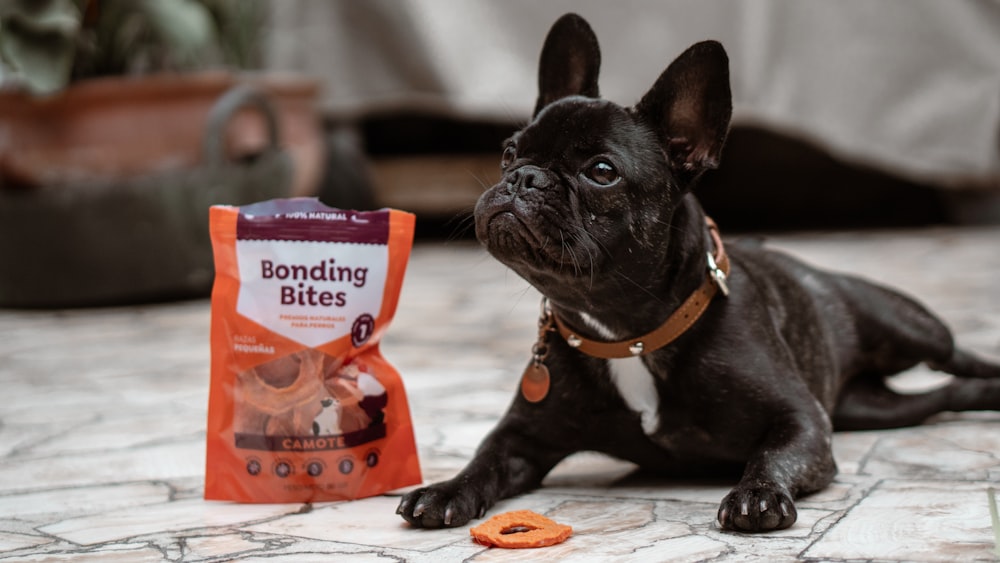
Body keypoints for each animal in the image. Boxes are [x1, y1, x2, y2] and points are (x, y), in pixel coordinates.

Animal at [398, 13, 1000, 532]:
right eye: (508, 152)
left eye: (601, 172)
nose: (523, 178)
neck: (625, 331)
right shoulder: (523, 438)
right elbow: (485, 458)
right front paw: (446, 490)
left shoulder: (802, 420)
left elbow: (773, 454)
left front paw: (757, 494)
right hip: (872, 409)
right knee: (941, 396)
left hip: (908, 328)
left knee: (954, 355)